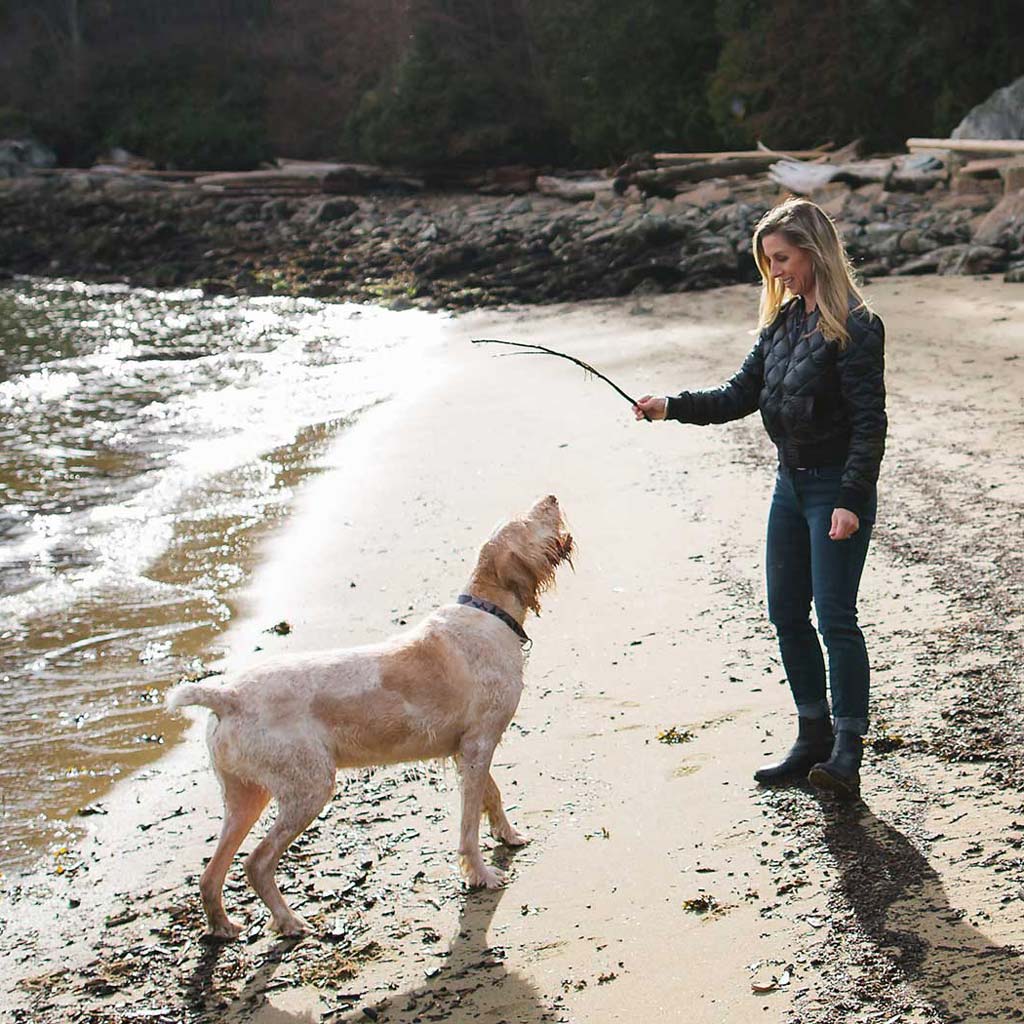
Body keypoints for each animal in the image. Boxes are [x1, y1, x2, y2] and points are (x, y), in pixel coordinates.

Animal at [163, 493, 573, 937]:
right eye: (526, 522)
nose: (551, 497)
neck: (489, 611)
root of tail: (226, 695)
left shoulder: (466, 749)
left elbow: (491, 796)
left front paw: (509, 836)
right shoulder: (479, 744)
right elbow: (469, 824)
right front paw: (481, 874)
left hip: (245, 797)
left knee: (211, 874)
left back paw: (223, 927)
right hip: (308, 788)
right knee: (257, 863)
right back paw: (289, 922)